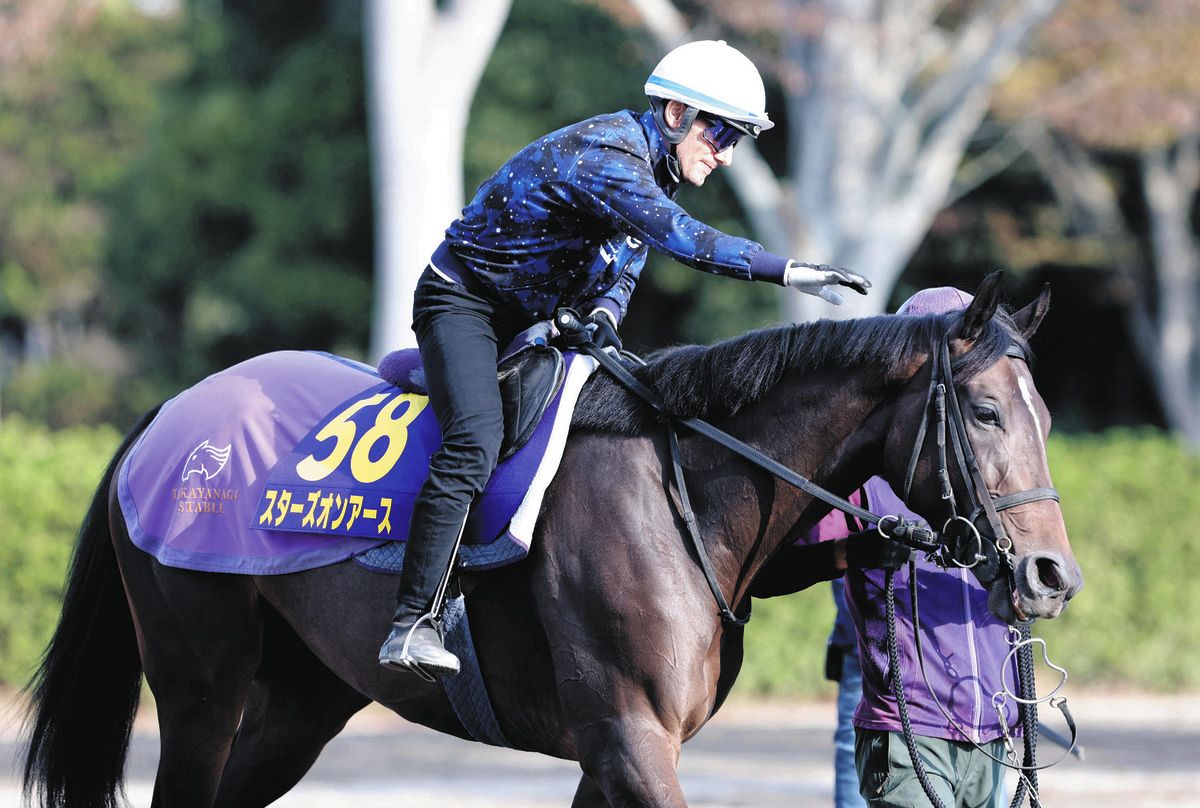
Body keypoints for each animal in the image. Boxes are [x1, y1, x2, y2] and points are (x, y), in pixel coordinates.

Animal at [23, 272, 1084, 806]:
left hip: (300, 702)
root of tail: (167, 417)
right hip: (199, 680)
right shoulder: (631, 736)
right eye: (987, 412)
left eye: (1044, 413)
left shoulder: (611, 749)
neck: (684, 485)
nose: (1050, 573)